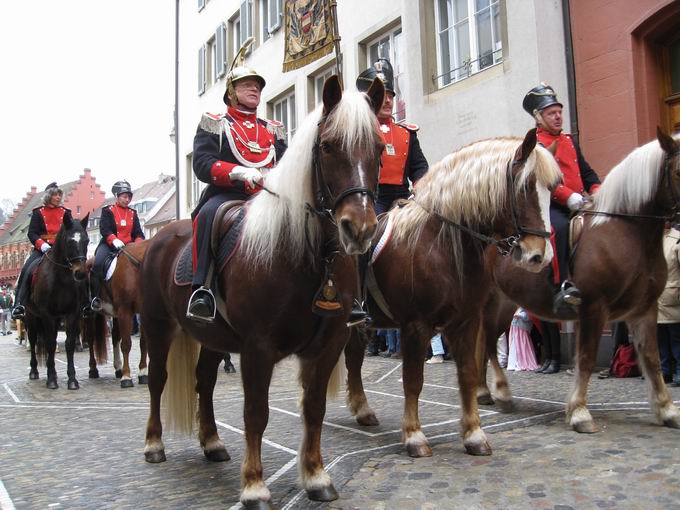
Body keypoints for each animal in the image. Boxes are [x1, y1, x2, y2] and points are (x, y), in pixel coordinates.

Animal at [23, 213, 105, 388]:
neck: (60, 278)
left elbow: (69, 344)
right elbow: (50, 344)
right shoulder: (47, 315)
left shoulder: (72, 314)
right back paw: (34, 371)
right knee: (33, 340)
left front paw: (72, 379)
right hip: (31, 316)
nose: (80, 273)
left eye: (87, 240)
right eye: (69, 241)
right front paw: (51, 379)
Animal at [142, 76, 388, 510]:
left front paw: (316, 476)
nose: (359, 228)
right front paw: (255, 486)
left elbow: (314, 408)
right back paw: (155, 444)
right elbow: (256, 413)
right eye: (328, 146)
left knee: (204, 380)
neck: (308, 256)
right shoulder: (258, 348)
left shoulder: (327, 345)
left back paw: (212, 442)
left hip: (213, 337)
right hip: (158, 327)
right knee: (158, 379)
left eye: (377, 148)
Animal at [342, 129, 560, 456]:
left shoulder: (467, 320)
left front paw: (474, 434)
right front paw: (414, 435)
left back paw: (363, 410)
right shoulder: (416, 326)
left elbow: (468, 373)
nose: (539, 256)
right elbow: (413, 380)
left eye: (552, 190)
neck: (438, 244)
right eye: (525, 188)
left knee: (354, 357)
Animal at [476, 128, 680, 434]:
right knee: (485, 342)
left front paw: (667, 410)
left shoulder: (645, 308)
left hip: (506, 303)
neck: (626, 232)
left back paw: (484, 392)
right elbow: (586, 358)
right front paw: (579, 413)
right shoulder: (593, 308)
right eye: (679, 171)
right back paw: (499, 393)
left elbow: (652, 359)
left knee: (484, 342)